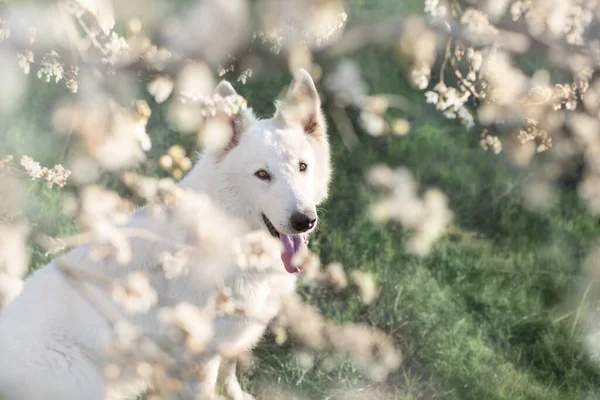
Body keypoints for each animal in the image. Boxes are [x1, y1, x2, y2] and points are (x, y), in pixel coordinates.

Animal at [0, 69, 330, 400]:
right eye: (262, 175)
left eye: (302, 167)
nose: (305, 221)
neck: (230, 234)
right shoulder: (198, 357)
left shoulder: (230, 339)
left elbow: (230, 371)